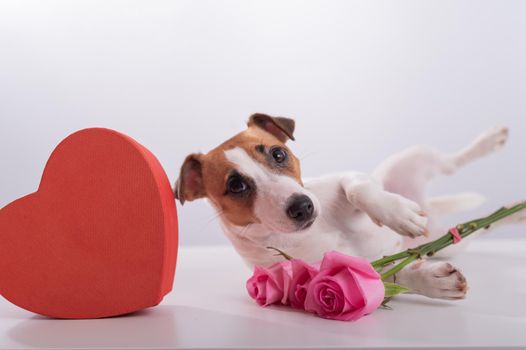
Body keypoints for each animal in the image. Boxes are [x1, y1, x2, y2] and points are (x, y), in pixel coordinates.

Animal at [174, 113, 524, 300]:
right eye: (236, 186)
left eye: (278, 154)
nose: (303, 206)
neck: (313, 230)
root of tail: (430, 207)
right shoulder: (319, 276)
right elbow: (391, 276)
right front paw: (433, 282)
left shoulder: (344, 179)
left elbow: (357, 187)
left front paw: (398, 214)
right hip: (453, 240)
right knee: (484, 225)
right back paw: (515, 212)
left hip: (412, 158)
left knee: (452, 163)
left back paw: (489, 143)